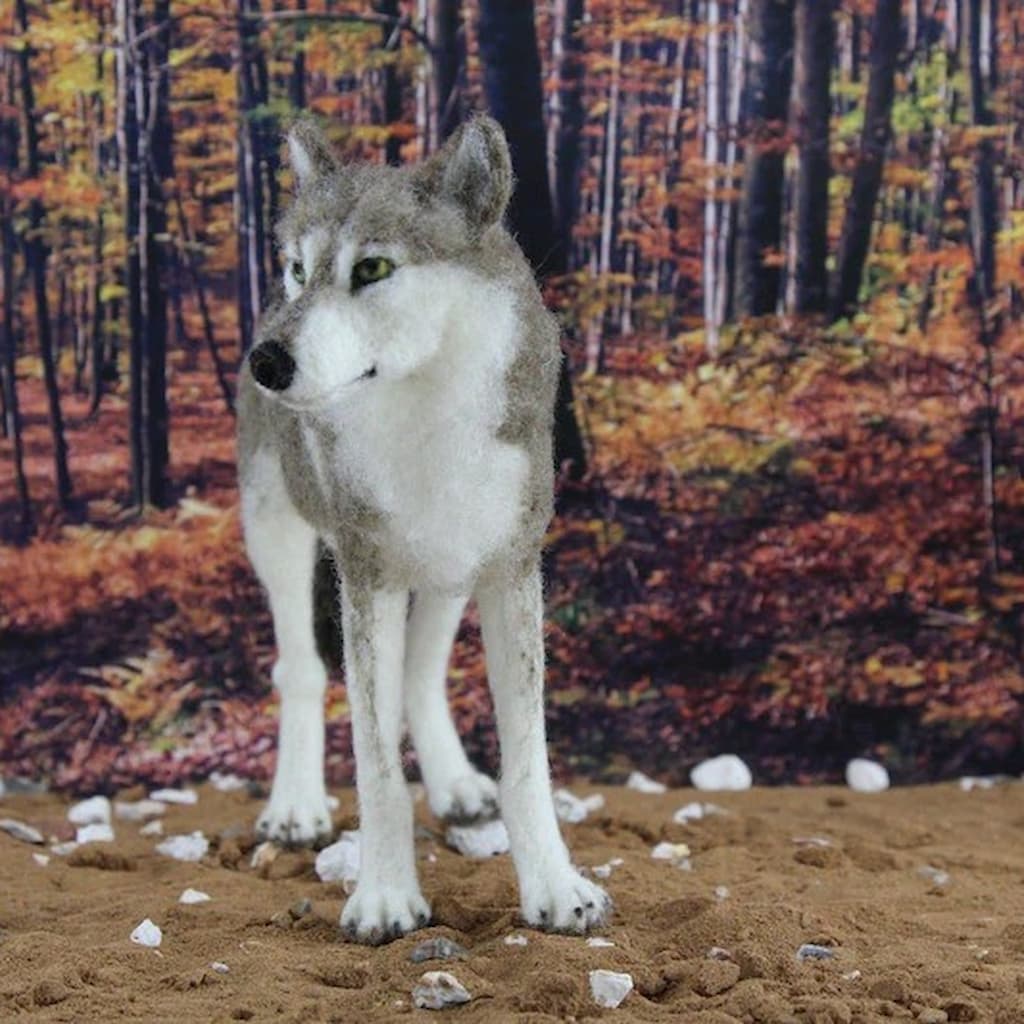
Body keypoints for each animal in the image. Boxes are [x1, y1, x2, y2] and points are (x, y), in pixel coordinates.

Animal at [236, 114, 610, 944]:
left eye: (372, 268)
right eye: (298, 268)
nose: (265, 361)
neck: (431, 425)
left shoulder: (512, 572)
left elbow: (527, 761)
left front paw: (556, 890)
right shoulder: (366, 575)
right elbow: (377, 768)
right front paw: (383, 900)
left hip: (447, 576)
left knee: (419, 676)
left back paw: (456, 786)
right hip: (279, 540)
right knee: (299, 669)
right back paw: (295, 808)